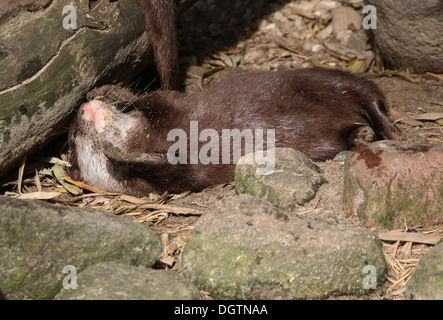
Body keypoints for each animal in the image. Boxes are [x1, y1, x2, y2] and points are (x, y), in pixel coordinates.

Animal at [67, 69, 404, 196]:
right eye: (73, 139)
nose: (82, 109)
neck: (147, 138)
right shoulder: (177, 179)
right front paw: (115, 152)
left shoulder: (173, 104)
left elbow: (151, 98)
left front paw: (111, 90)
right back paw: (364, 136)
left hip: (326, 79)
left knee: (369, 94)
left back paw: (390, 131)